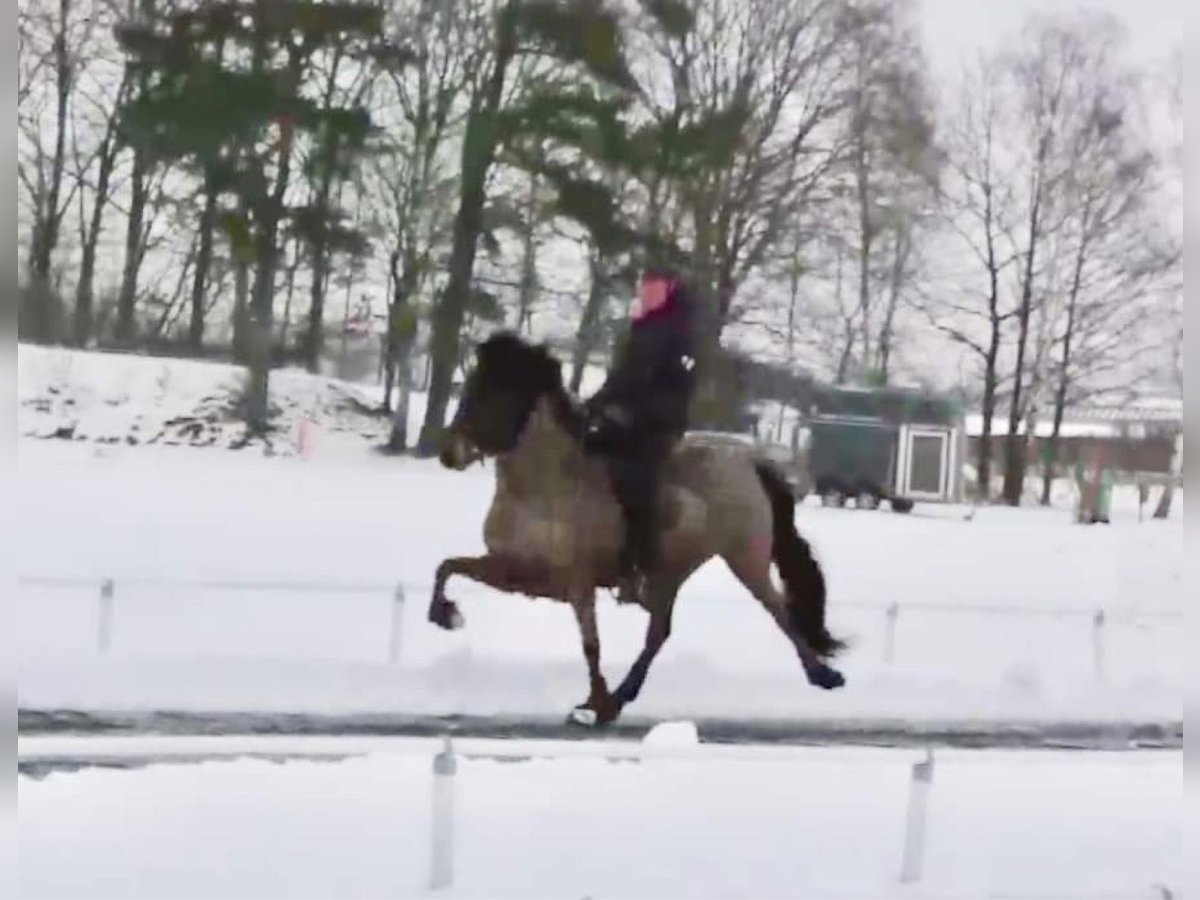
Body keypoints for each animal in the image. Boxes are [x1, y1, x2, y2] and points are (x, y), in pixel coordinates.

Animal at [432, 331, 844, 724]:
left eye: (496, 390)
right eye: (471, 385)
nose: (449, 453)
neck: (541, 488)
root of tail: (747, 460)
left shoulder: (576, 581)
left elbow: (591, 644)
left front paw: (595, 705)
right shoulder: (516, 570)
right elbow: (448, 566)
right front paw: (446, 615)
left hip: (744, 559)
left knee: (776, 610)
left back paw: (823, 675)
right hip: (672, 571)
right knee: (660, 632)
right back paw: (621, 697)